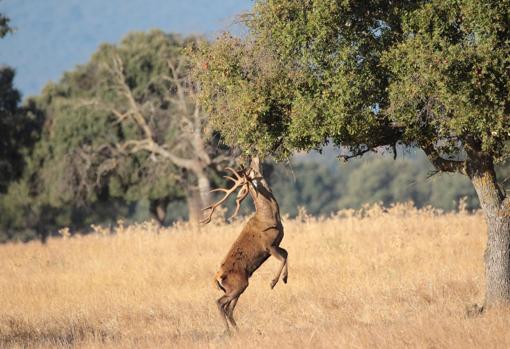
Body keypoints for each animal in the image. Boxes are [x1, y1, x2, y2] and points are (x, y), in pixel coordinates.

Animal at [200, 157, 286, 332]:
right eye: (252, 171)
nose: (254, 157)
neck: (269, 217)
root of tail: (218, 276)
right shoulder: (268, 245)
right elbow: (283, 258)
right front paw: (273, 282)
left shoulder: (277, 243)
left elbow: (286, 254)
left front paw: (285, 278)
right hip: (239, 284)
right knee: (220, 303)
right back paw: (228, 331)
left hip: (237, 287)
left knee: (229, 308)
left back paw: (237, 330)